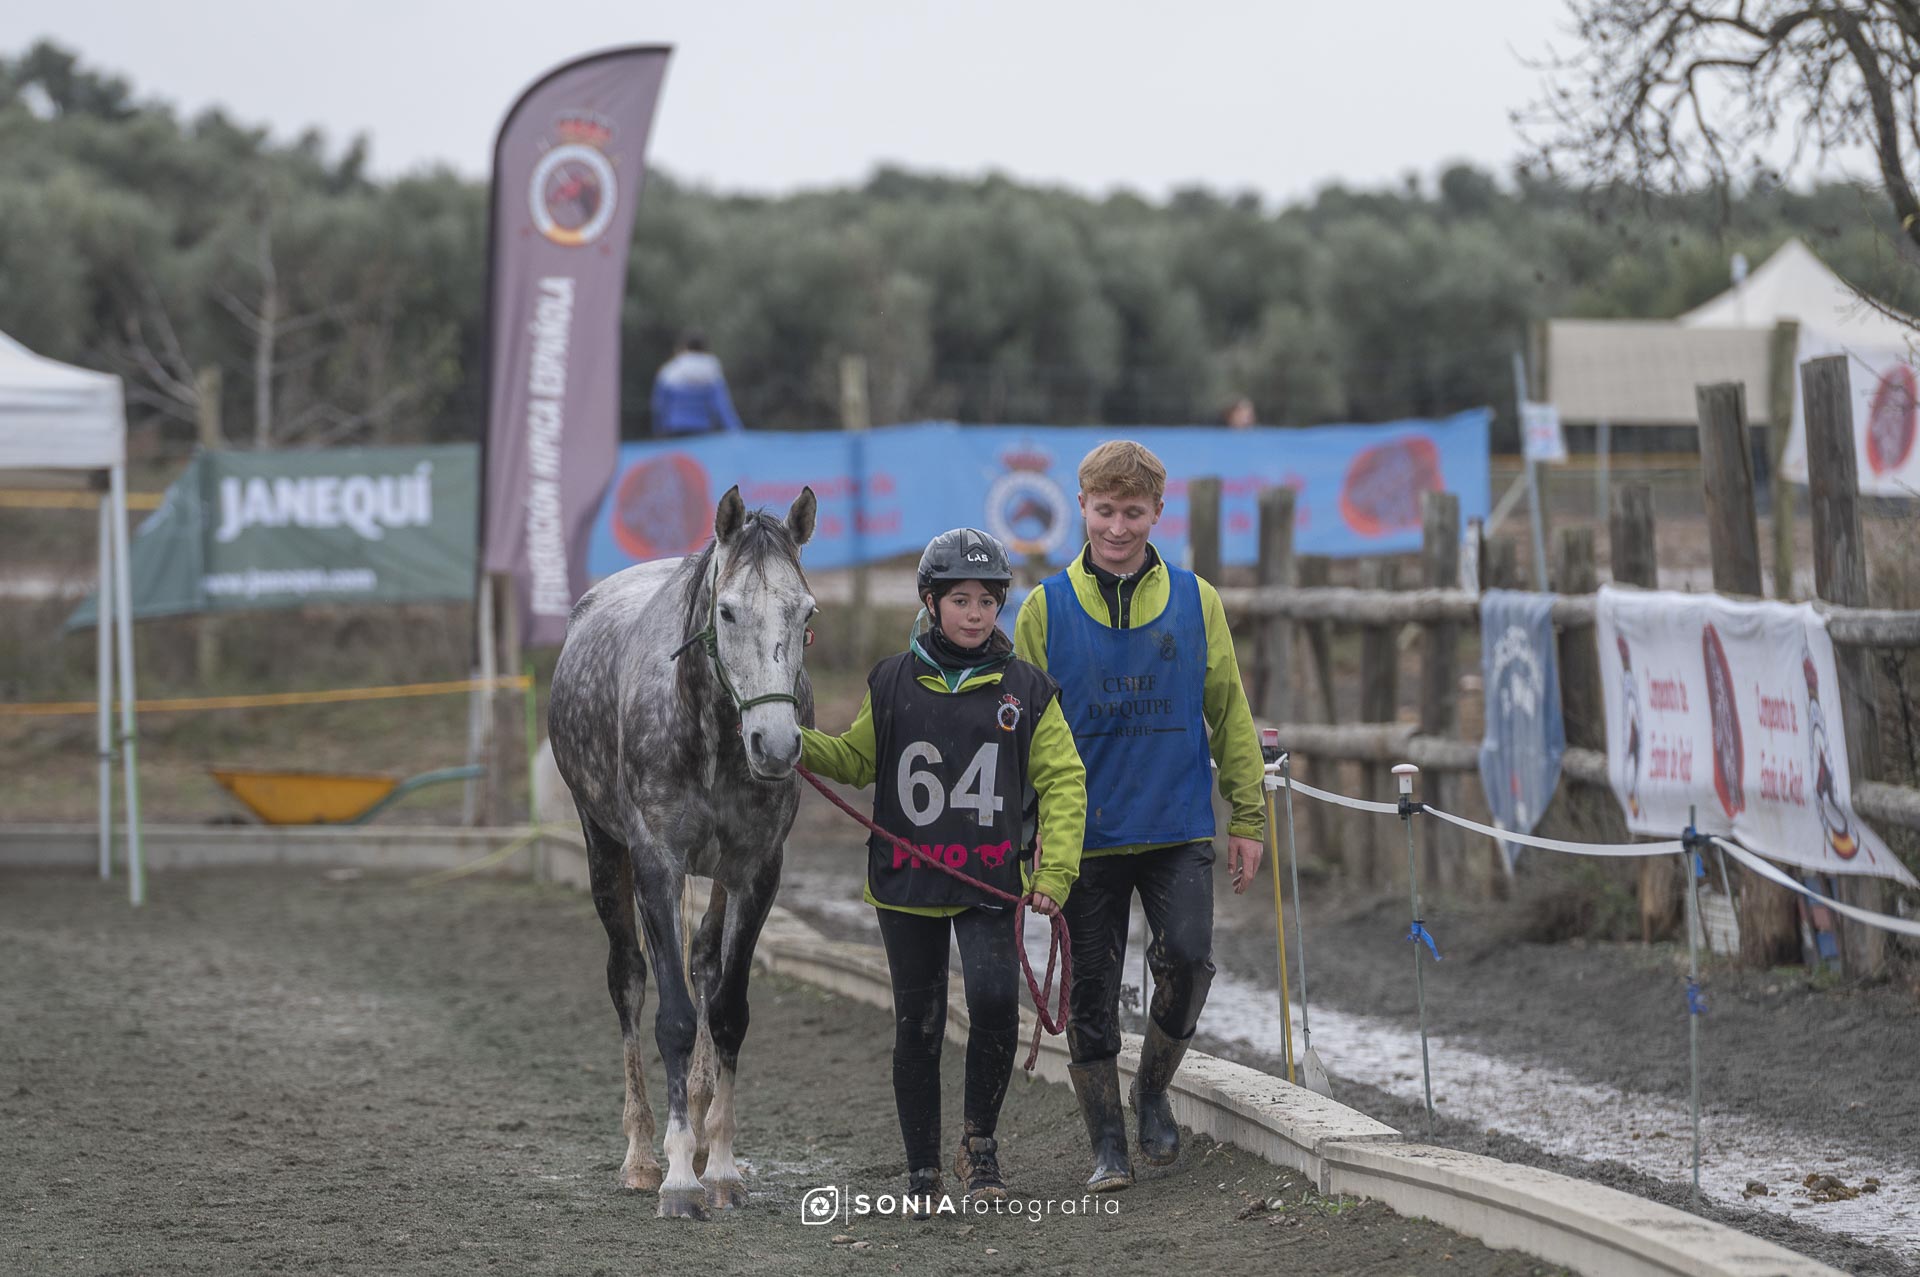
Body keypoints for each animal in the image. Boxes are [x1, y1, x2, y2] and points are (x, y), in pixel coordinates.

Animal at [547, 484, 816, 1219]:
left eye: (807, 612)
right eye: (727, 610)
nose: (776, 745)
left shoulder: (756, 871)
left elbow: (725, 1012)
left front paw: (716, 1164)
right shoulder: (657, 865)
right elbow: (671, 1016)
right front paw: (675, 1179)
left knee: (703, 963)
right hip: (602, 848)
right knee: (628, 978)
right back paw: (642, 1154)